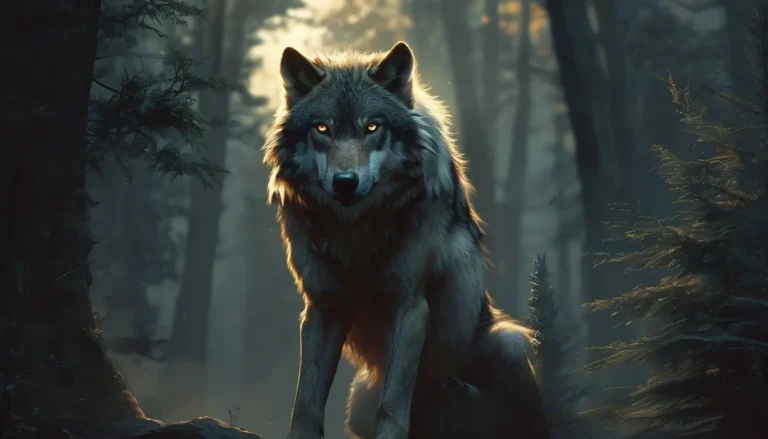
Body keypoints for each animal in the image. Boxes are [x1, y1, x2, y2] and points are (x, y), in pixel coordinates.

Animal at [263, 41, 550, 439]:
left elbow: (393, 403)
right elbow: (306, 401)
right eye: (322, 128)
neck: (356, 231)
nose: (345, 182)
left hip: (509, 341)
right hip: (359, 399)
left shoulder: (409, 305)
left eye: (372, 127)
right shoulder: (322, 306)